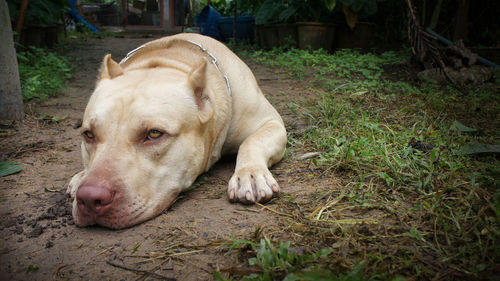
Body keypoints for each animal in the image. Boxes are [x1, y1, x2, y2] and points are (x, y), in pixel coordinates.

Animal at [65, 34, 290, 229]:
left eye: (154, 134)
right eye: (88, 134)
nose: (89, 198)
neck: (167, 61)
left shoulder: (272, 123)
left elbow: (251, 141)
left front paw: (250, 174)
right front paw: (81, 176)